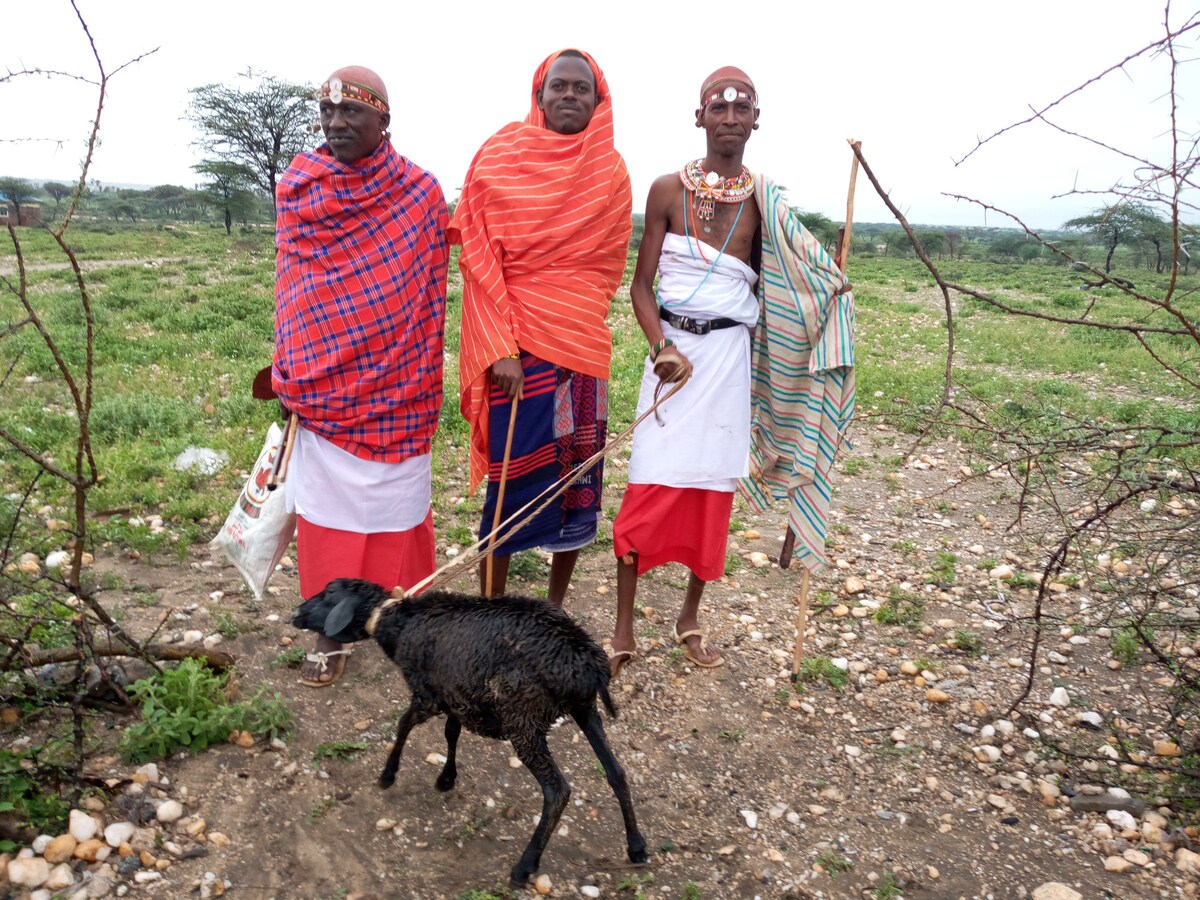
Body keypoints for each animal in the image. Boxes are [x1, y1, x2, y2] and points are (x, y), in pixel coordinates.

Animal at [292, 578, 648, 888]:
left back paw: (524, 866)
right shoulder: (455, 692)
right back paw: (636, 846)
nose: (295, 613)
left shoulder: (427, 695)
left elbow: (404, 724)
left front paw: (388, 774)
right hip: (585, 710)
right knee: (616, 771)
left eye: (328, 594)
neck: (395, 624)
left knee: (557, 790)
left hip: (524, 719)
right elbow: (451, 732)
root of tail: (589, 665)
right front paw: (447, 778)